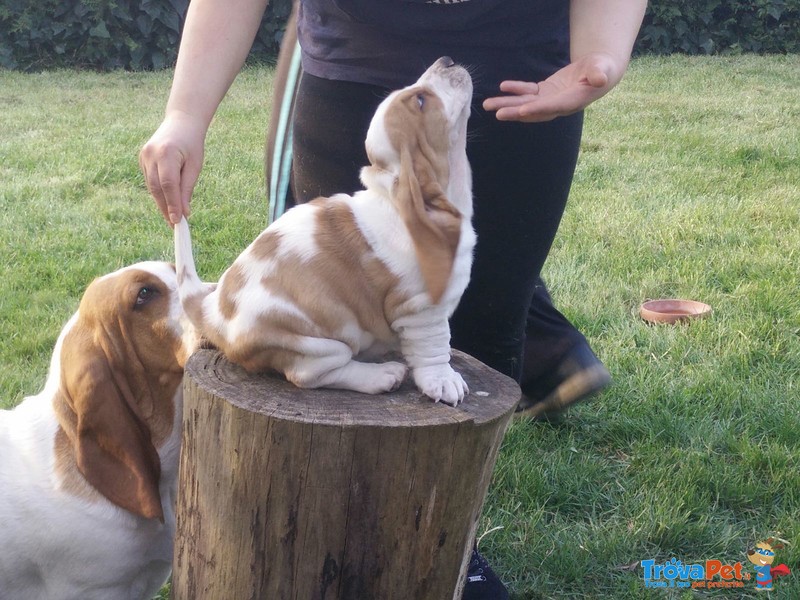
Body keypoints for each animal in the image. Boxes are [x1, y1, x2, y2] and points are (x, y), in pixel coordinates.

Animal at [175, 56, 476, 406]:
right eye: (421, 100)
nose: (446, 60)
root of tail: (209, 309)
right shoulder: (421, 309)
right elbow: (435, 347)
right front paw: (442, 381)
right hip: (315, 343)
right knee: (309, 375)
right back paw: (381, 375)